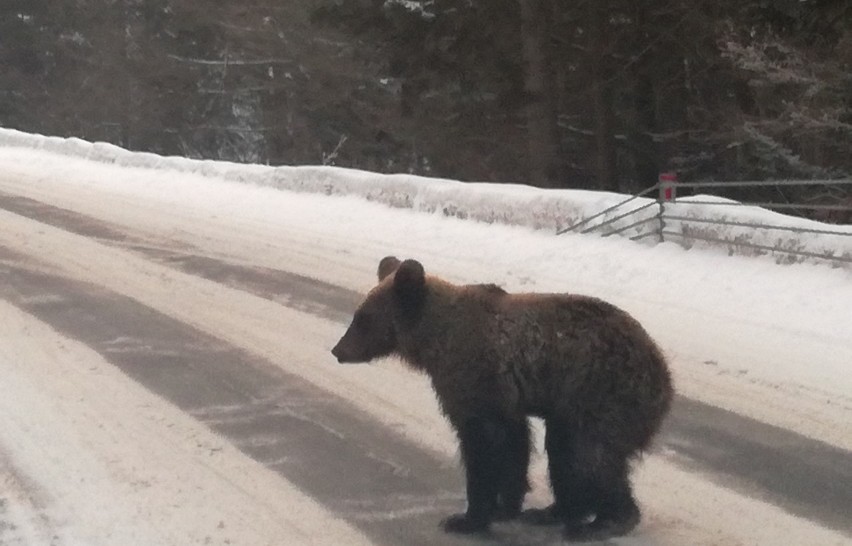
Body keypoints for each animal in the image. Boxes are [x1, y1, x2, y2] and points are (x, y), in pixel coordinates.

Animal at [332, 258, 672, 536]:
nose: (338, 350)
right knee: (564, 451)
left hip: (602, 393)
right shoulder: (504, 398)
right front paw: (505, 505)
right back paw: (553, 511)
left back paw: (605, 521)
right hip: (576, 406)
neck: (435, 341)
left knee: (590, 454)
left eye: (362, 318)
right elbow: (513, 445)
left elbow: (484, 446)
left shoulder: (475, 382)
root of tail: (664, 375)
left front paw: (467, 517)